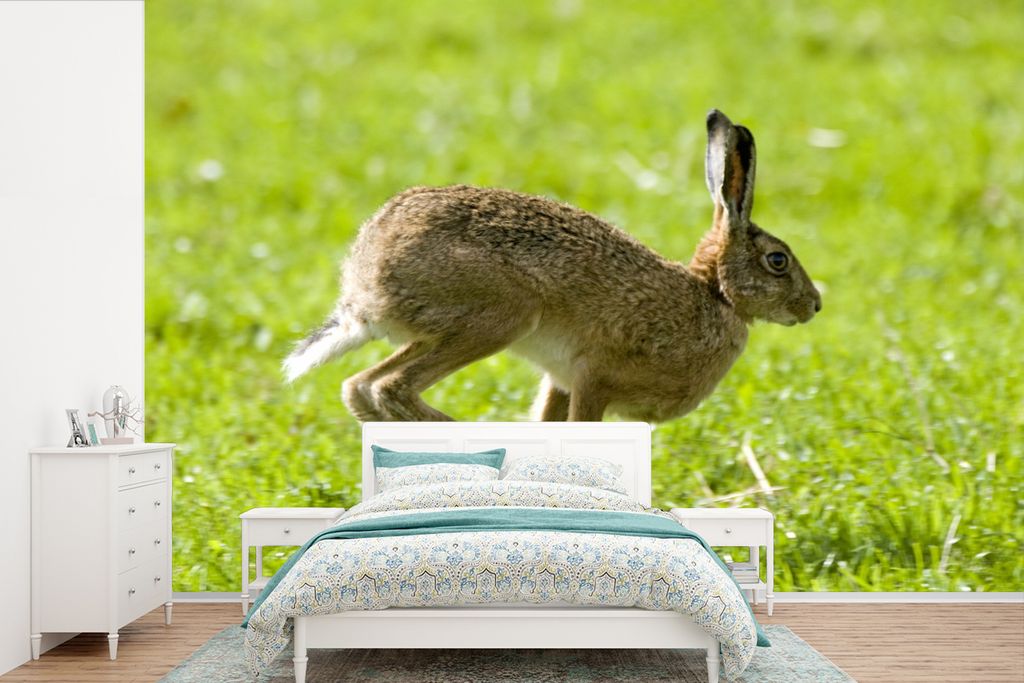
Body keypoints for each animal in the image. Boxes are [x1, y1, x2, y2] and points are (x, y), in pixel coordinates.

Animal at [283, 109, 821, 422]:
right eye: (778, 261)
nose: (814, 305)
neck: (717, 295)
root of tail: (363, 286)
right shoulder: (596, 378)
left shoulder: (562, 382)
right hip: (497, 319)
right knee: (390, 388)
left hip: (438, 331)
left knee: (360, 387)